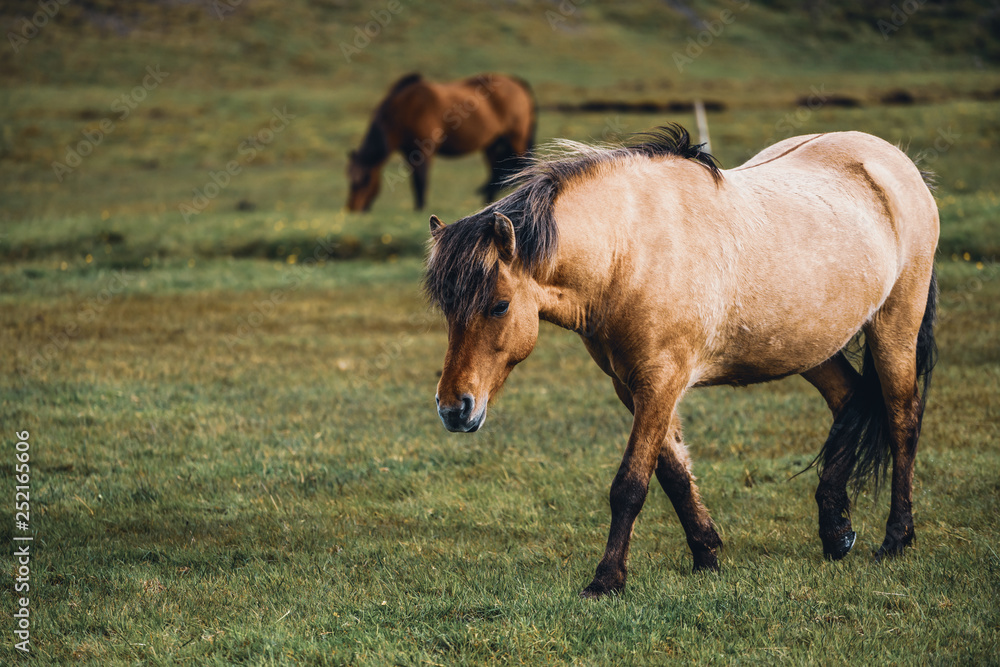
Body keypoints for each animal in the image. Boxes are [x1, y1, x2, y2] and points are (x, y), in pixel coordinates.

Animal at [346, 72, 536, 211]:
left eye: (365, 180)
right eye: (349, 178)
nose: (352, 209)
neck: (405, 109)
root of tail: (517, 82)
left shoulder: (424, 150)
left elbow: (421, 179)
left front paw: (420, 209)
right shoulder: (409, 152)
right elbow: (415, 181)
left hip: (516, 138)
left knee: (524, 167)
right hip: (492, 143)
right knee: (496, 172)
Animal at [426, 125, 940, 600]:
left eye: (499, 306)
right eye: (446, 308)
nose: (454, 410)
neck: (629, 252)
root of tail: (893, 161)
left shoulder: (660, 380)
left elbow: (631, 484)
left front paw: (606, 580)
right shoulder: (633, 385)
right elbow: (672, 473)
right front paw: (706, 553)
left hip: (894, 325)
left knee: (902, 421)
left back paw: (896, 539)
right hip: (807, 341)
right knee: (851, 400)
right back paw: (836, 532)